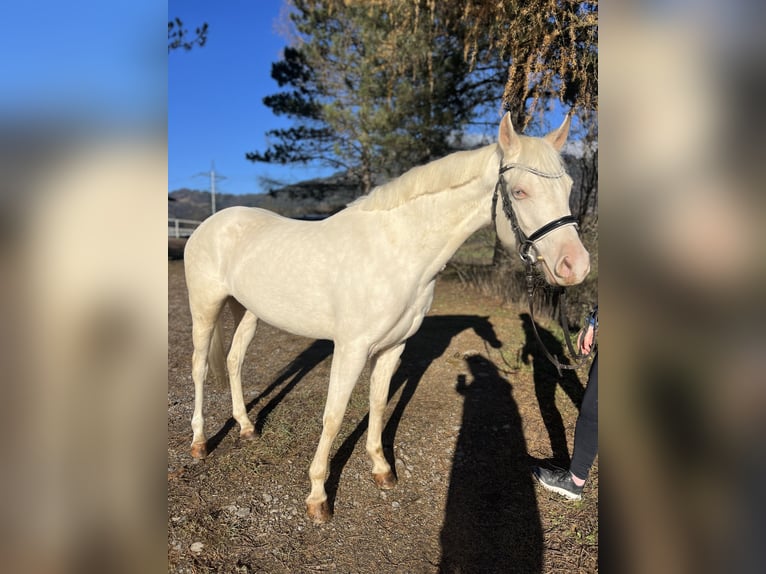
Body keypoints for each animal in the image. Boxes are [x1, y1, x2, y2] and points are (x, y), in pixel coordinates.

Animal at [183, 112, 592, 528]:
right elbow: (333, 416)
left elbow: (378, 405)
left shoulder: (394, 347)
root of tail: (211, 223)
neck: (396, 251)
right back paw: (199, 443)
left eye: (569, 187)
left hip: (247, 311)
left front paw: (381, 469)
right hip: (205, 307)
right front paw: (317, 497)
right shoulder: (350, 349)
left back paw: (247, 427)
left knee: (234, 361)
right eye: (521, 192)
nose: (575, 266)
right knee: (200, 367)